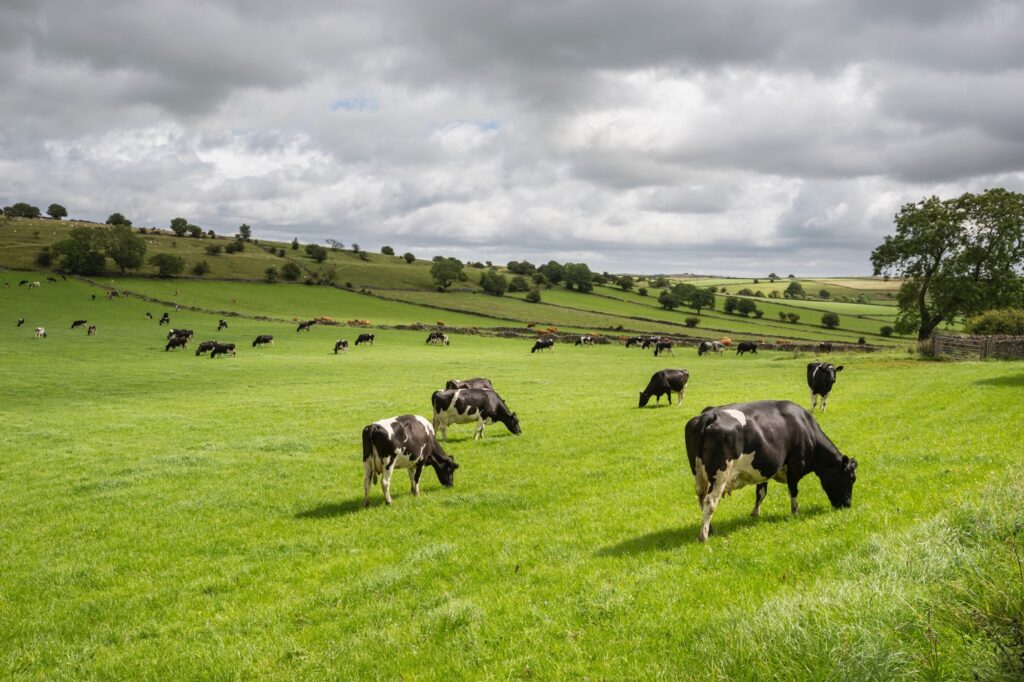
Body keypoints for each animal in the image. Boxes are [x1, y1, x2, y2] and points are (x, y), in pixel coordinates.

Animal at [684, 401, 860, 540]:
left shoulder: (764, 469)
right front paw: (795, 512)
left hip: (698, 474)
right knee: (710, 501)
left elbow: (761, 492)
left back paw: (709, 529)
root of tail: (710, 415)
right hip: (720, 475)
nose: (848, 504)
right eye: (851, 479)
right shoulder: (796, 465)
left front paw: (755, 513)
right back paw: (704, 535)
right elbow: (793, 491)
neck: (806, 428)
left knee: (701, 499)